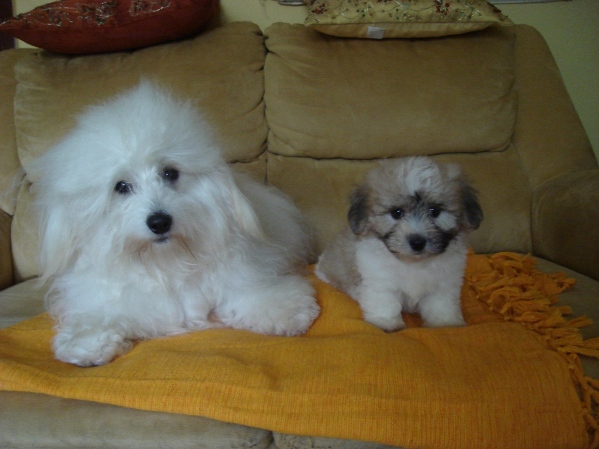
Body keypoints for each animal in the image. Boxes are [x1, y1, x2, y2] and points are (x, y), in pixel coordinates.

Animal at [29, 82, 318, 366]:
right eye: (121, 186)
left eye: (170, 173)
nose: (159, 222)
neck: (166, 261)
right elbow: (99, 315)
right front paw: (86, 344)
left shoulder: (240, 273)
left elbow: (251, 292)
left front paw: (285, 313)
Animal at [316, 156, 486, 330]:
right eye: (396, 213)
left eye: (435, 211)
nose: (417, 242)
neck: (414, 263)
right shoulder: (380, 280)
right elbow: (385, 303)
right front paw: (386, 323)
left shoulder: (444, 284)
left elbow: (441, 305)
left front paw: (446, 324)